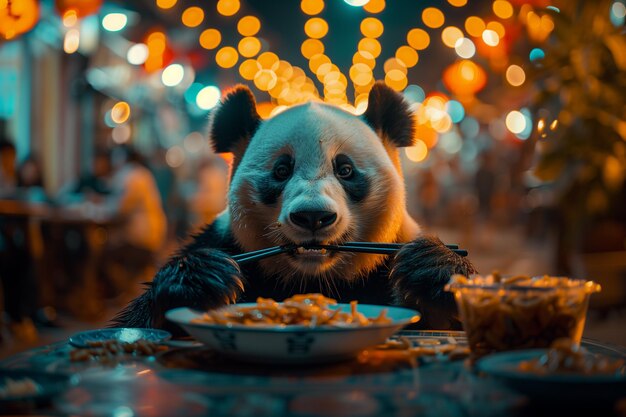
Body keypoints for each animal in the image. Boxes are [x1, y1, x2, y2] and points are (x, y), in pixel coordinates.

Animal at [113, 82, 472, 334]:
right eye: (281, 170)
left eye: (345, 170)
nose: (313, 216)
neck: (313, 280)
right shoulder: (224, 241)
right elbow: (134, 321)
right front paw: (197, 280)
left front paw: (433, 270)